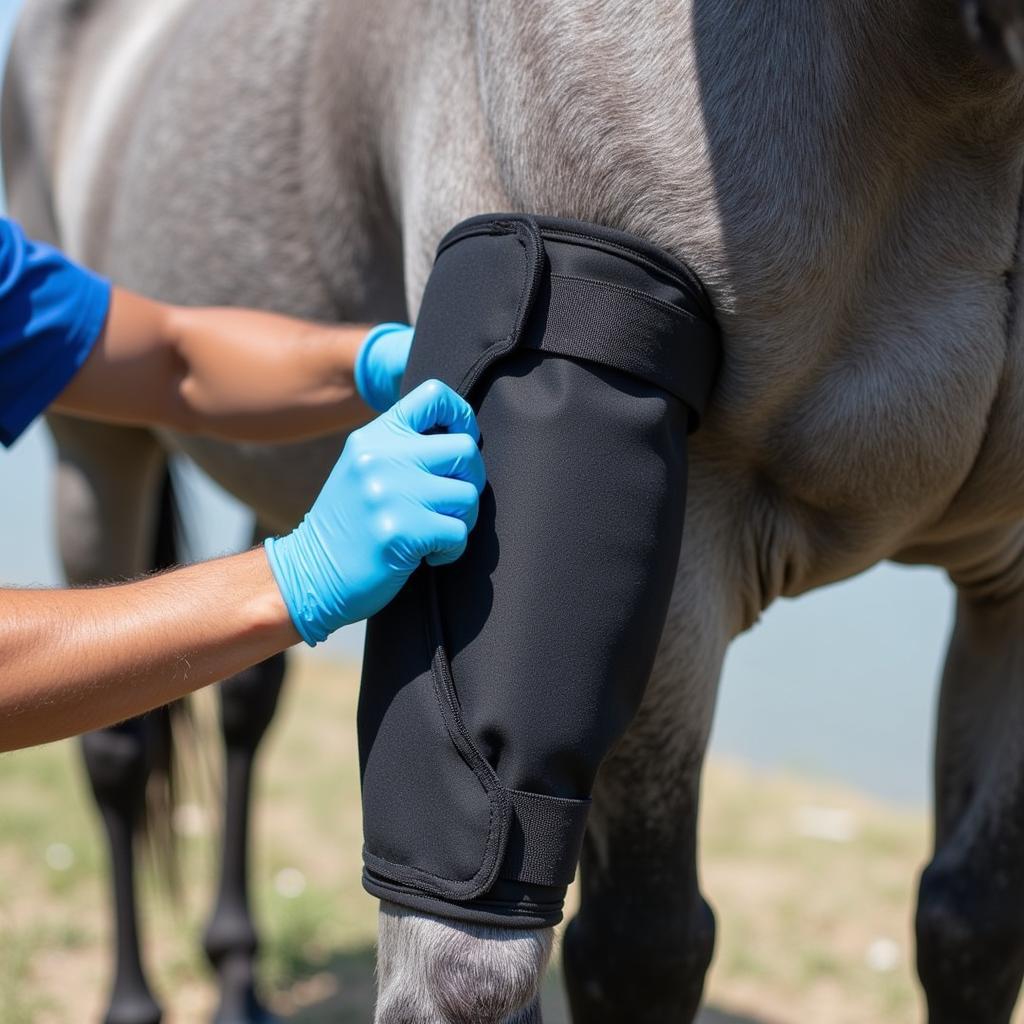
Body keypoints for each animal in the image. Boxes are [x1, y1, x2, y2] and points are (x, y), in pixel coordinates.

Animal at [6, 2, 1024, 1024]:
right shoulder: (684, 568)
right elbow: (615, 948)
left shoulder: (1001, 584)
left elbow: (969, 925)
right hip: (97, 443)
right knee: (121, 752)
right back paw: (133, 996)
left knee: (244, 706)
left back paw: (237, 972)